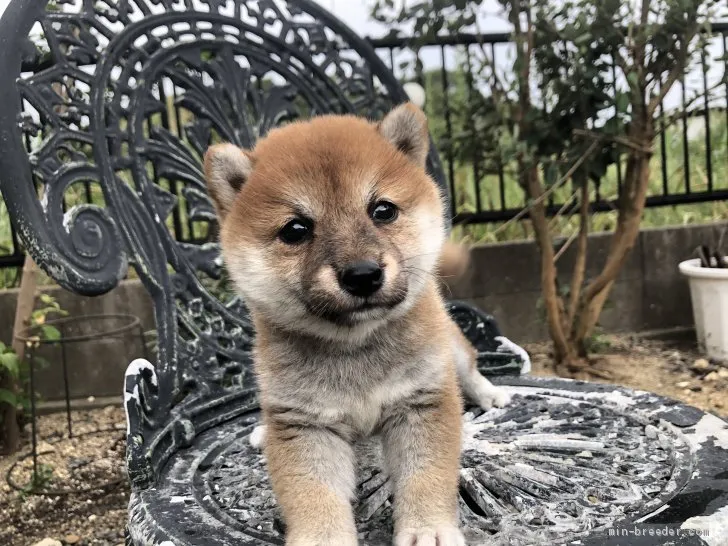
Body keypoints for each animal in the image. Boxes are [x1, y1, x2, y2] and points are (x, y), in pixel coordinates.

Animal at [205, 103, 510, 544]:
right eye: (295, 229)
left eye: (382, 210)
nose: (363, 274)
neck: (355, 348)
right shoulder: (305, 426)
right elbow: (313, 495)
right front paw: (323, 536)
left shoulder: (421, 403)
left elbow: (426, 476)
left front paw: (428, 529)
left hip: (448, 349)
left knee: (468, 368)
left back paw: (489, 394)